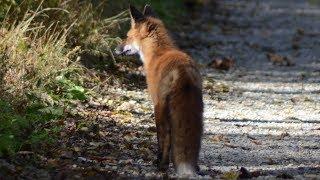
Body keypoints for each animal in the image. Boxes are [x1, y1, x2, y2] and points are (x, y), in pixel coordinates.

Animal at [116, 4, 204, 176]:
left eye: (127, 36)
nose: (116, 49)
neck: (158, 53)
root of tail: (183, 70)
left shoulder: (156, 102)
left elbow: (160, 137)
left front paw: (158, 161)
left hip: (162, 106)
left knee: (167, 135)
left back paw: (162, 165)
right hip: (198, 109)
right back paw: (195, 166)